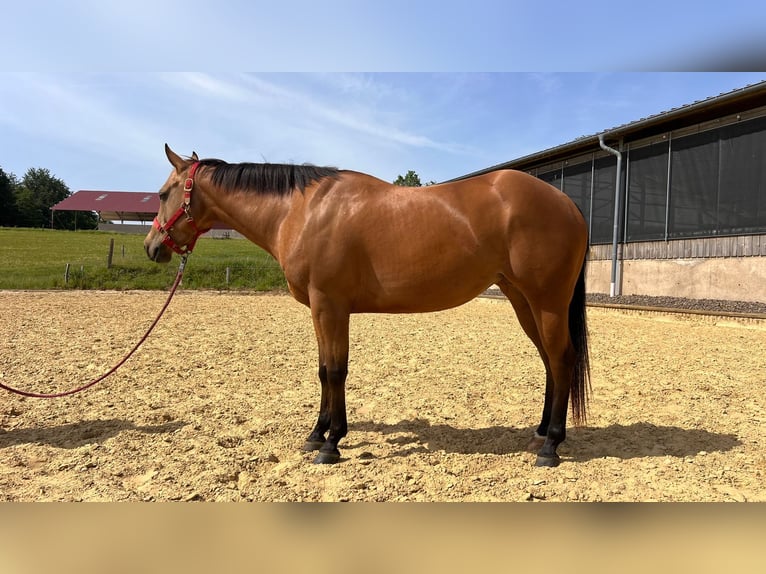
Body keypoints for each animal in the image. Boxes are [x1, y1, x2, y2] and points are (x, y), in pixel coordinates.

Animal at [144, 144, 591, 467]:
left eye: (164, 194)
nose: (151, 248)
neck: (302, 211)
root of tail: (567, 203)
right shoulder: (320, 310)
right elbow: (323, 370)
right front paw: (316, 435)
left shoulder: (331, 306)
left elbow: (336, 372)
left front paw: (332, 443)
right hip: (522, 299)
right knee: (550, 360)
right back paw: (541, 431)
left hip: (546, 301)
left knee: (562, 358)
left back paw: (551, 447)